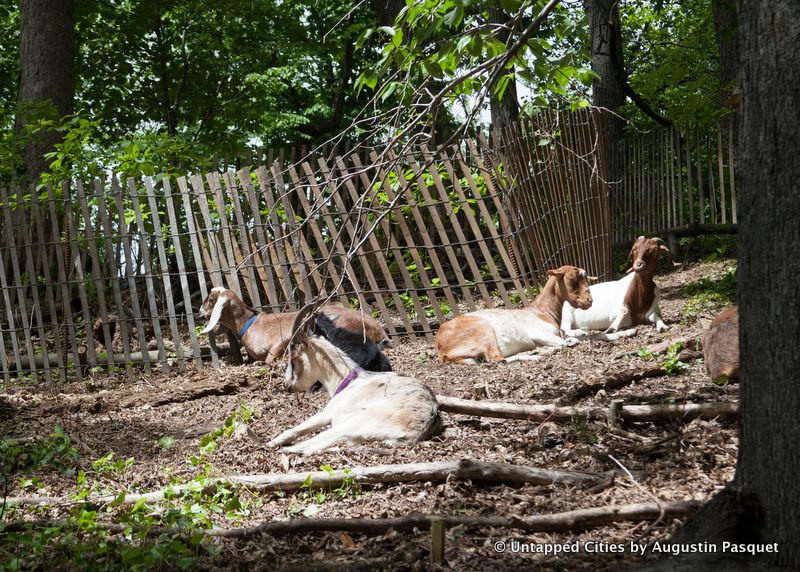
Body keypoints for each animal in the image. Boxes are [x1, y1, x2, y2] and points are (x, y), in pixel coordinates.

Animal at [198, 288, 390, 364]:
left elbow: (268, 359)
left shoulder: (283, 339)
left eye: (212, 300)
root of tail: (380, 331)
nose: (200, 312)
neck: (249, 325)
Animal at [434, 266, 596, 364]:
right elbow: (567, 342)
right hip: (484, 330)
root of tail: (442, 349)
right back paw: (536, 354)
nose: (589, 301)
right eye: (571, 281)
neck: (541, 312)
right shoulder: (540, 333)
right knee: (496, 359)